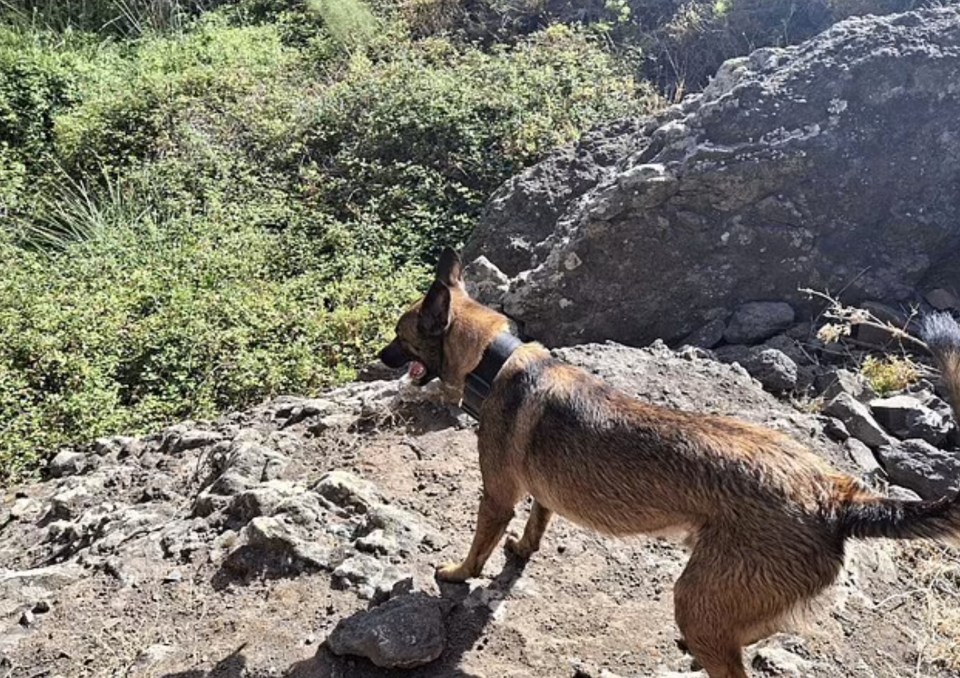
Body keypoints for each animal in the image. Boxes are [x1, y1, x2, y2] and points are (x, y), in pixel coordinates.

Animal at [378, 250, 960, 678]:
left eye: (401, 335)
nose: (381, 358)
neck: (493, 360)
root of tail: (836, 499)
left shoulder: (496, 496)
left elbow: (479, 547)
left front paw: (458, 573)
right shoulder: (541, 492)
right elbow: (538, 522)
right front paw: (522, 549)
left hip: (697, 596)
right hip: (723, 597)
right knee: (755, 628)